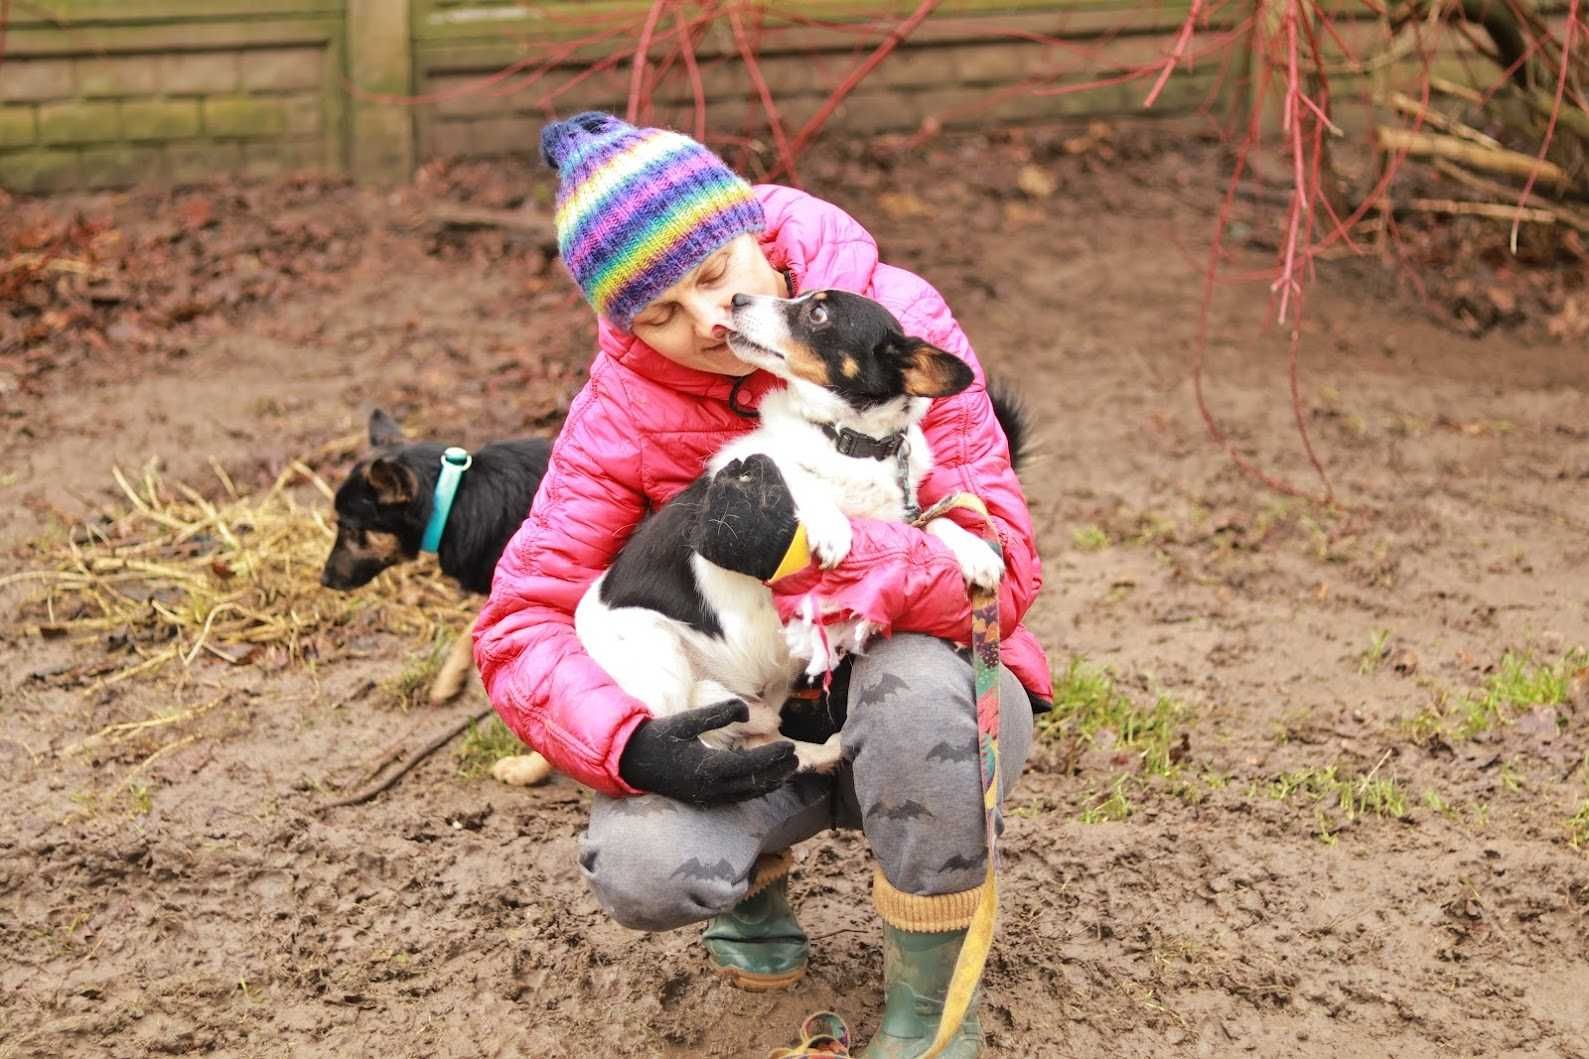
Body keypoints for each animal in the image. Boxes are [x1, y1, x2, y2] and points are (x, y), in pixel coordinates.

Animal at [584, 289, 1016, 766]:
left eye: (818, 312)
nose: (737, 298)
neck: (847, 442)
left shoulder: (898, 517)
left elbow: (934, 519)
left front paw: (975, 551)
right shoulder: (737, 479)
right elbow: (795, 481)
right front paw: (829, 524)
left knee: (768, 740)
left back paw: (820, 748)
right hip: (660, 658)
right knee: (687, 741)